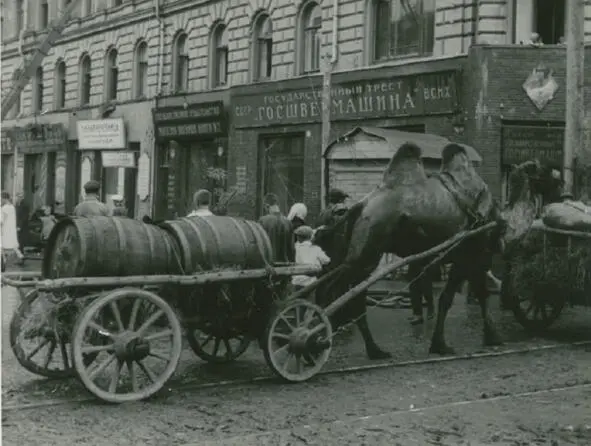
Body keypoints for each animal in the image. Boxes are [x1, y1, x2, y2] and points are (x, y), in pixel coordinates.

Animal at [314, 143, 560, 358]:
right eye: (546, 171)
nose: (561, 186)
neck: (499, 221)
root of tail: (359, 206)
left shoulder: (468, 258)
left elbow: (457, 297)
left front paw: (441, 344)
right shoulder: (472, 256)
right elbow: (463, 297)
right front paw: (485, 338)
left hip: (358, 252)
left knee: (347, 291)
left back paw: (370, 349)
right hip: (368, 248)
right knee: (340, 292)